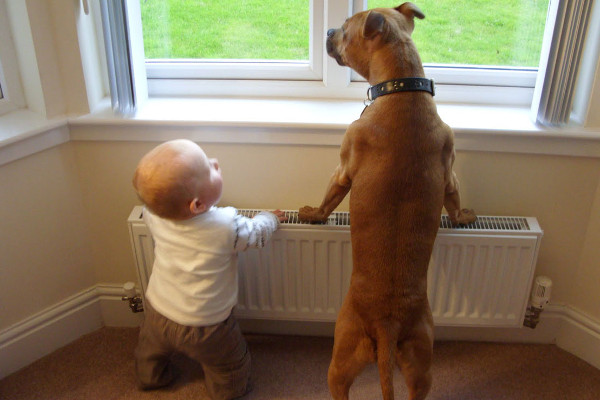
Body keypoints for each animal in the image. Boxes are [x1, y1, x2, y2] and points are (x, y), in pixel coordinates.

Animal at [298, 3, 476, 400]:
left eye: (344, 28)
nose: (329, 30)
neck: (403, 90)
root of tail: (387, 322)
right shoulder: (450, 171)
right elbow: (455, 197)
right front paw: (463, 216)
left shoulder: (344, 168)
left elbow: (329, 199)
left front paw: (313, 213)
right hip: (421, 362)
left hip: (340, 356)